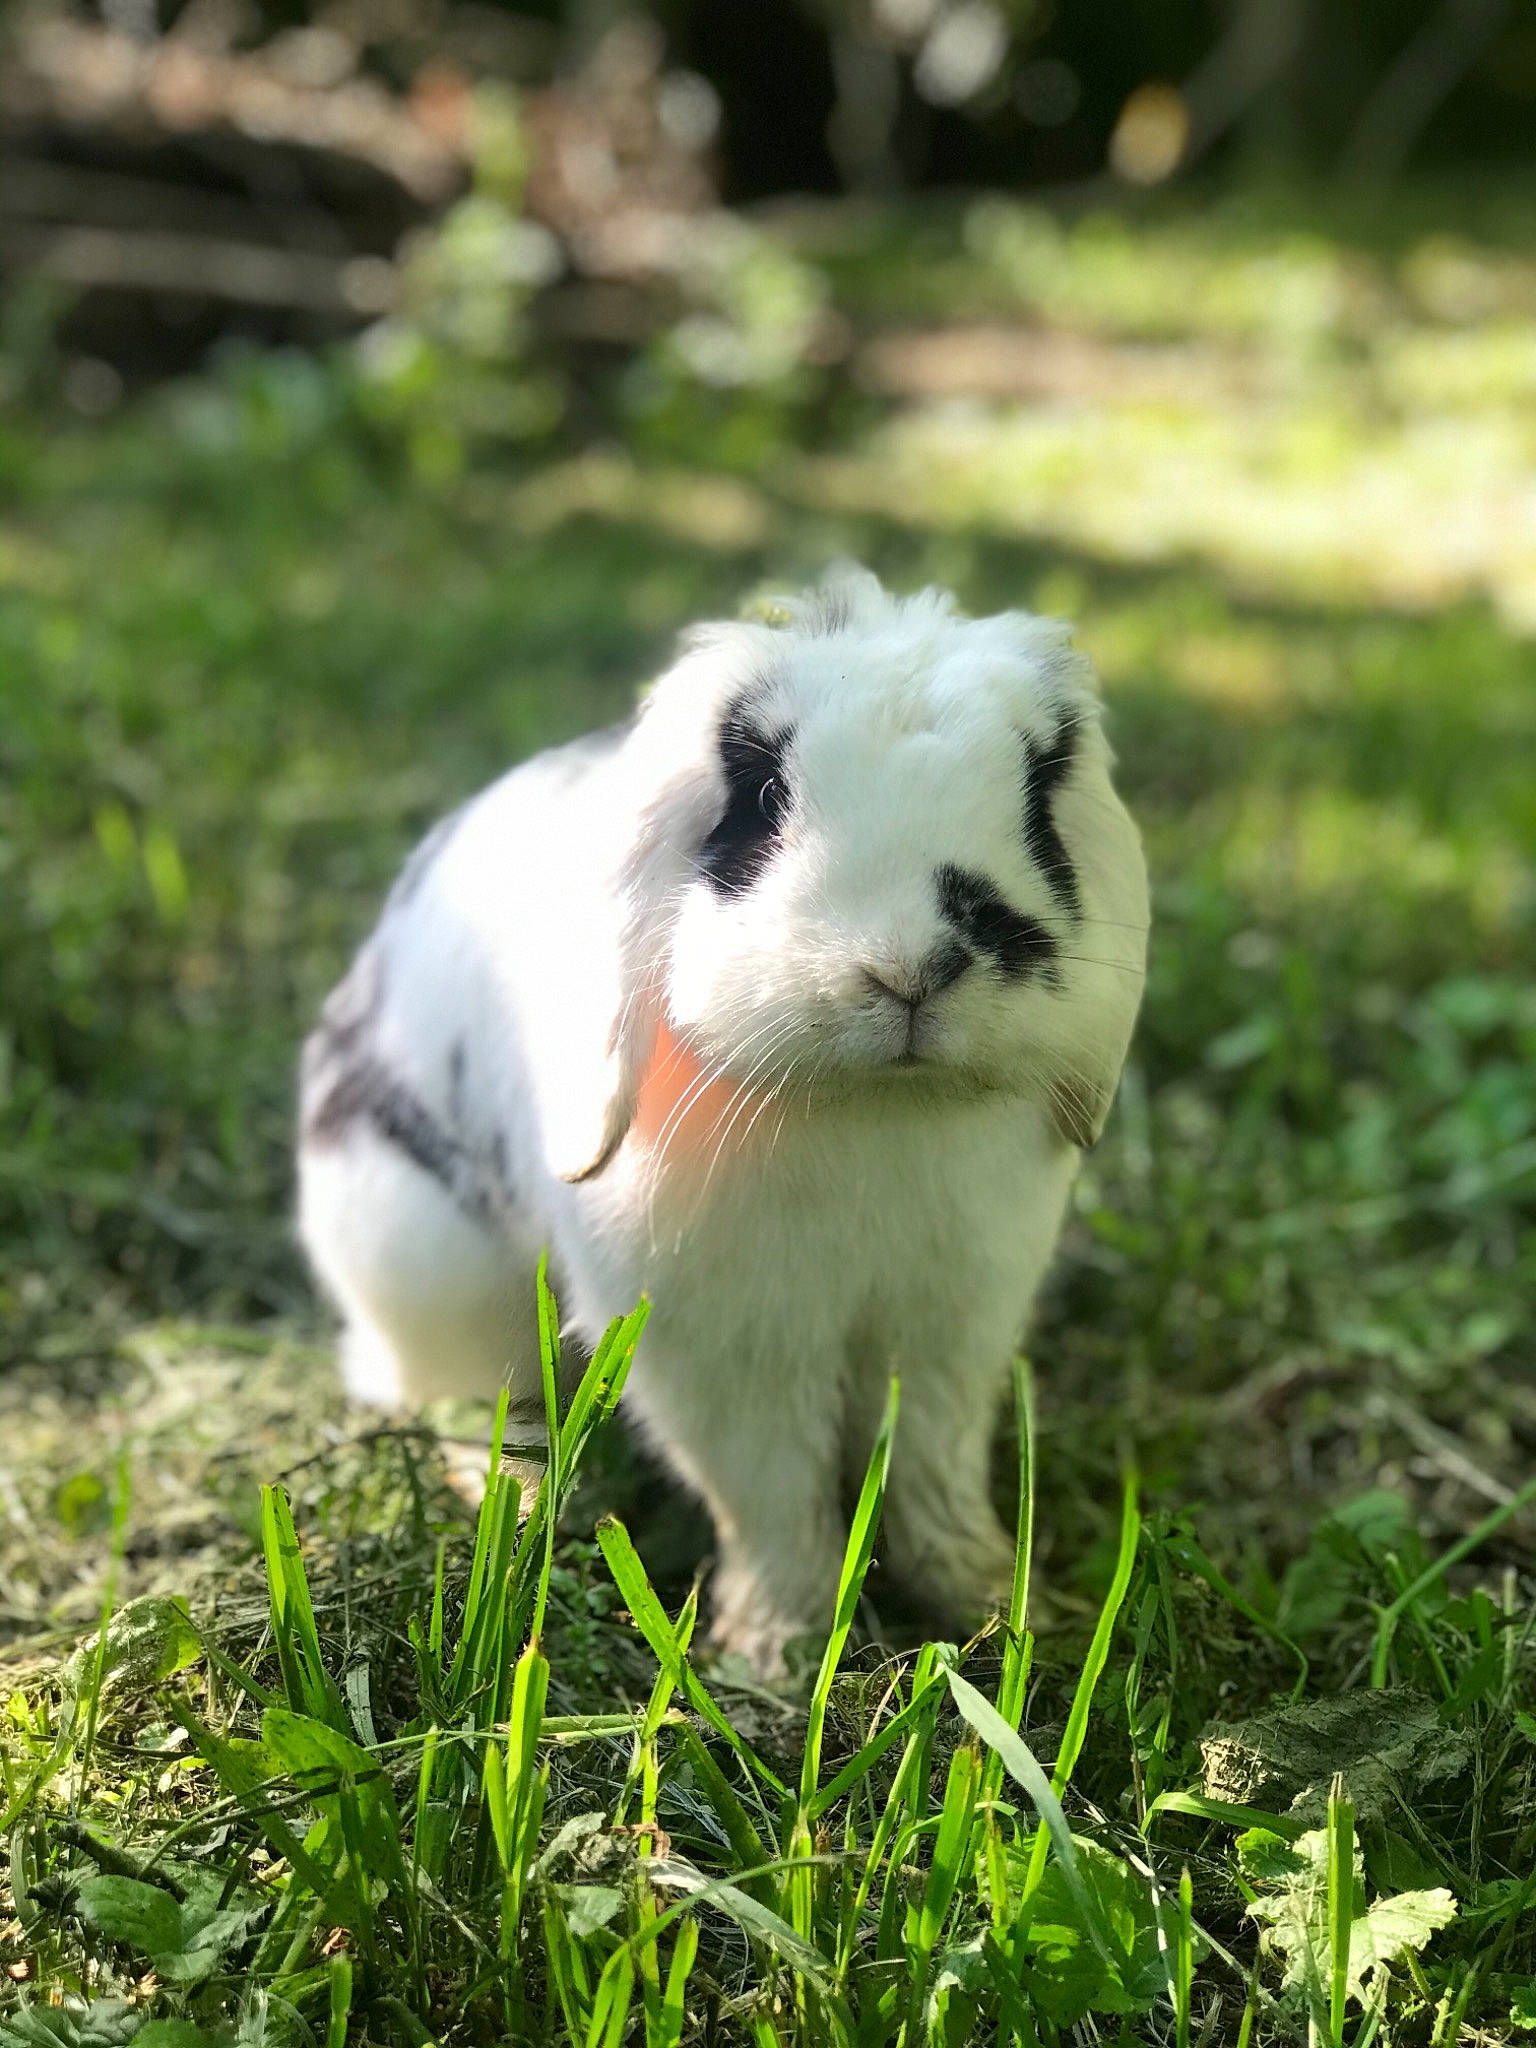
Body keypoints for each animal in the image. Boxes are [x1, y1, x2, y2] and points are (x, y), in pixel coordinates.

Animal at [297, 567, 1150, 1676]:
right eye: (764, 799)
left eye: (1039, 802)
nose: (912, 966)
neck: (871, 1108)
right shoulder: (722, 1347)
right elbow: (771, 1496)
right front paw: (776, 1649)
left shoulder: (951, 1323)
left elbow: (931, 1469)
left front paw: (1003, 1611)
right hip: (421, 1265)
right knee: (453, 1396)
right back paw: (518, 1501)